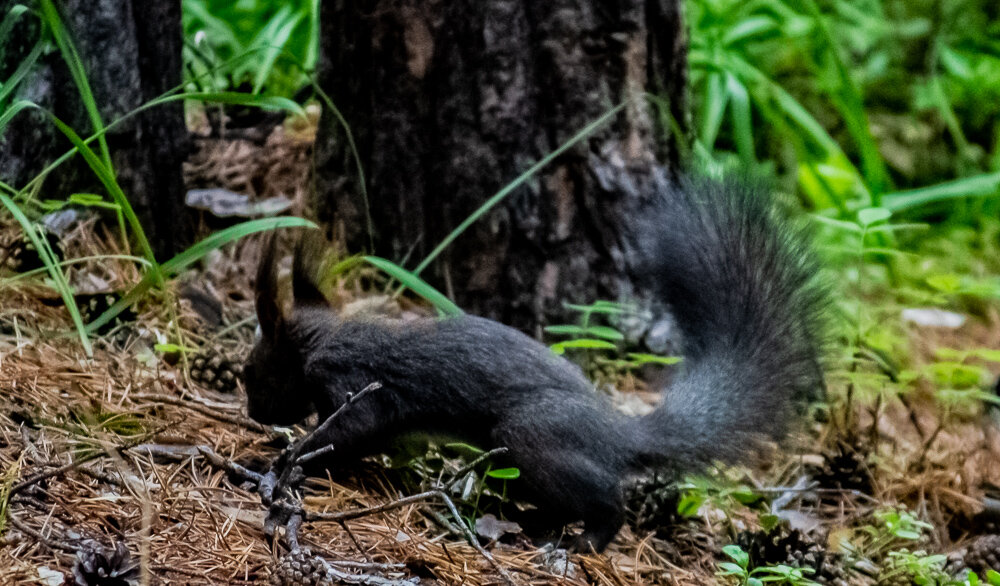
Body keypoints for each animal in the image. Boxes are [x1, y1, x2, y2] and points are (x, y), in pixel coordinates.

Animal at [242, 174, 828, 552]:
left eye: (251, 374)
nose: (250, 411)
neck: (326, 340)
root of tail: (616, 432)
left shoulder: (350, 383)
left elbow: (346, 429)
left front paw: (285, 459)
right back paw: (533, 526)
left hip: (533, 436)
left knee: (606, 500)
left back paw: (583, 541)